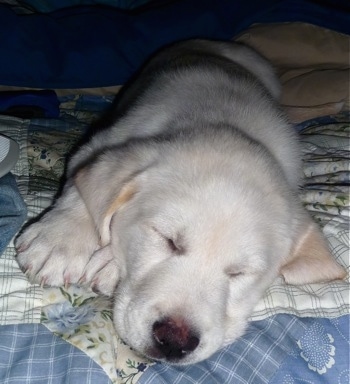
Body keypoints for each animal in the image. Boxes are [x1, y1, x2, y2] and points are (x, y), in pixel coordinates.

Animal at [15, 39, 344, 366]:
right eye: (168, 240)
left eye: (238, 273)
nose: (174, 342)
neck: (223, 120)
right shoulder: (105, 143)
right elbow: (82, 188)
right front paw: (59, 240)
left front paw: (108, 263)